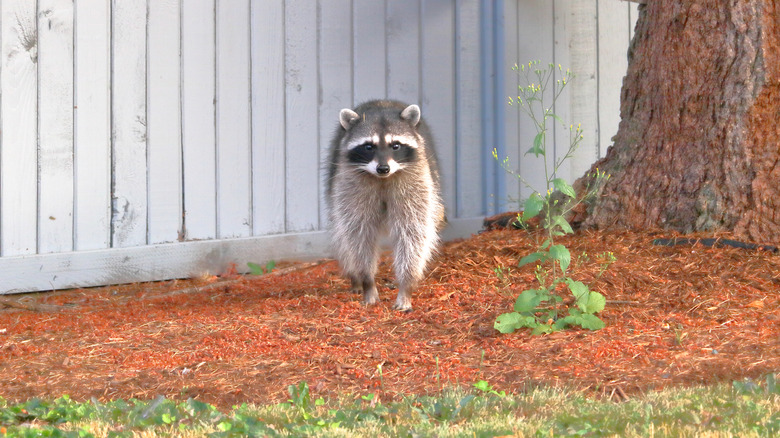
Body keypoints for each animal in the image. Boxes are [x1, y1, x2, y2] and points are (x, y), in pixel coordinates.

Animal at [324, 99, 444, 312]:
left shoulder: (416, 182)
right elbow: (358, 234)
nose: (383, 168)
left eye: (395, 145)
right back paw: (355, 278)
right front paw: (367, 280)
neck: (382, 178)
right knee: (342, 235)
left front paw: (406, 285)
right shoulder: (350, 184)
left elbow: (413, 232)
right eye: (368, 146)